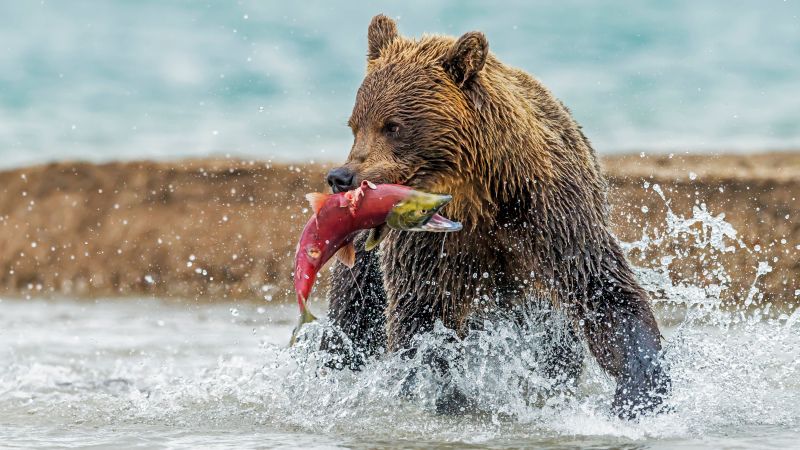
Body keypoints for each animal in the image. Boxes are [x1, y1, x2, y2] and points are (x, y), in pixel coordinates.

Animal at [318, 15, 668, 420]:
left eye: (393, 126)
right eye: (355, 125)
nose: (341, 177)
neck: (480, 196)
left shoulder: (551, 215)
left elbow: (602, 289)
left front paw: (638, 391)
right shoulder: (429, 244)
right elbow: (422, 313)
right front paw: (442, 392)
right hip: (365, 257)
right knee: (352, 318)